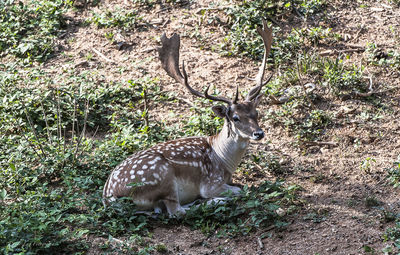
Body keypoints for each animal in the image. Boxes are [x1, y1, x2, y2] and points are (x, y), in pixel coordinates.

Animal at [101, 19, 274, 215]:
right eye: (235, 118)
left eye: (256, 113)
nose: (258, 133)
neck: (223, 160)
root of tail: (109, 197)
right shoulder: (211, 183)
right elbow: (239, 189)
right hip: (163, 177)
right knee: (176, 211)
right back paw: (211, 202)